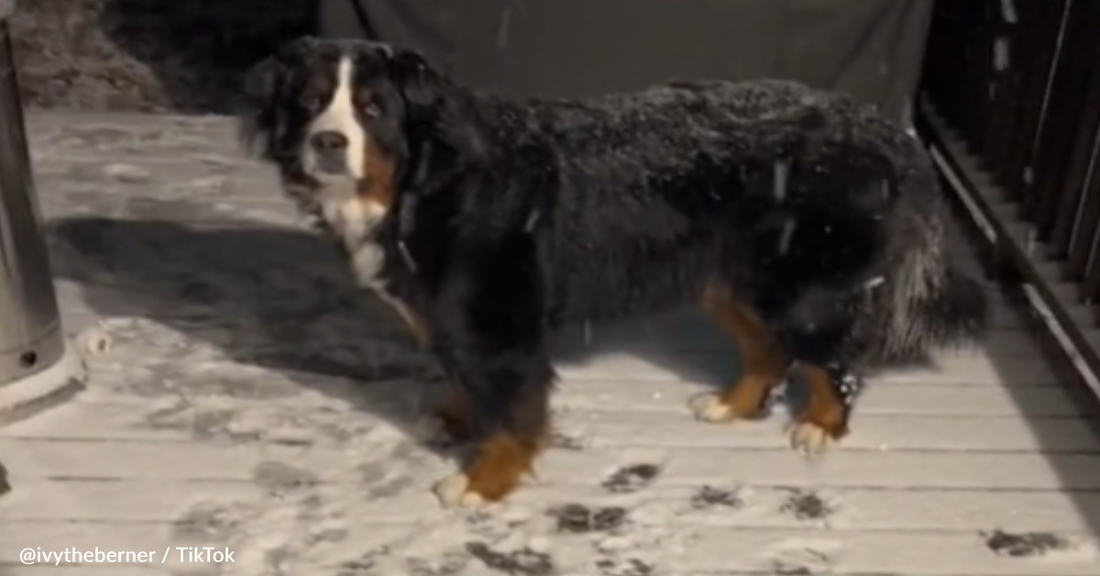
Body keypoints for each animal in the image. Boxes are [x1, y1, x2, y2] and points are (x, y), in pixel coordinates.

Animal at [238, 36, 990, 505]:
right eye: (308, 102)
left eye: (372, 108)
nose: (327, 143)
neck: (423, 182)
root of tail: (883, 126)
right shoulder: (457, 319)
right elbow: (465, 381)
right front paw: (453, 420)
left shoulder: (499, 325)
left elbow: (512, 415)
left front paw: (481, 484)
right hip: (729, 279)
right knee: (767, 349)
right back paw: (731, 405)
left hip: (801, 287)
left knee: (832, 360)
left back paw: (819, 428)